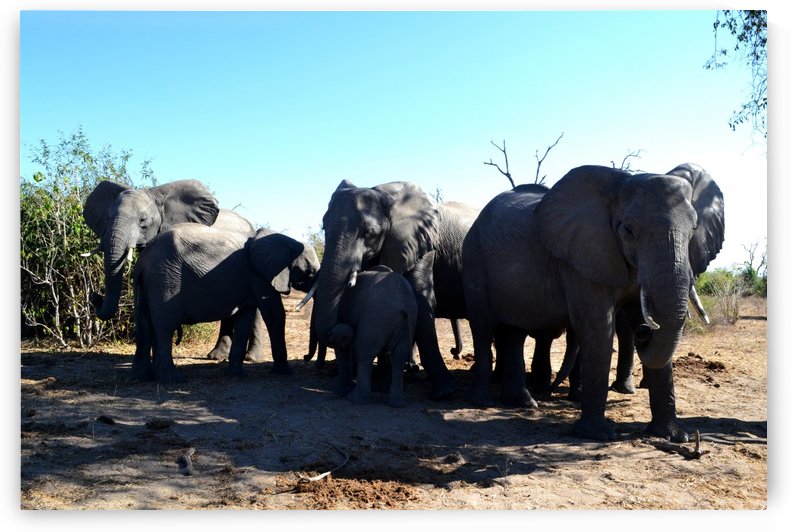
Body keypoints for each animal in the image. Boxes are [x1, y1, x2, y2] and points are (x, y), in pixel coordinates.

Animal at [132, 225, 319, 384]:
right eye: (310, 273)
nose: (305, 357)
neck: (289, 241)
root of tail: (143, 259)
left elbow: (246, 318)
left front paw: (237, 375)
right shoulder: (260, 276)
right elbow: (275, 314)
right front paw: (285, 372)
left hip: (149, 282)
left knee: (144, 326)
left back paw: (143, 377)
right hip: (166, 279)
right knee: (164, 327)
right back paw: (173, 380)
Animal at [327, 265, 418, 407]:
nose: (329, 335)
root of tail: (402, 306)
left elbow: (344, 346)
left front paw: (339, 393)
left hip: (375, 318)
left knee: (364, 353)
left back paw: (355, 399)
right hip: (407, 321)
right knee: (399, 357)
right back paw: (396, 403)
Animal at [463, 165, 723, 442]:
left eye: (694, 229)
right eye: (628, 230)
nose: (644, 333)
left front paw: (672, 436)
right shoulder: (580, 257)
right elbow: (599, 328)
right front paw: (598, 435)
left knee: (514, 331)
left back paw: (523, 403)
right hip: (473, 257)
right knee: (482, 326)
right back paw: (482, 402)